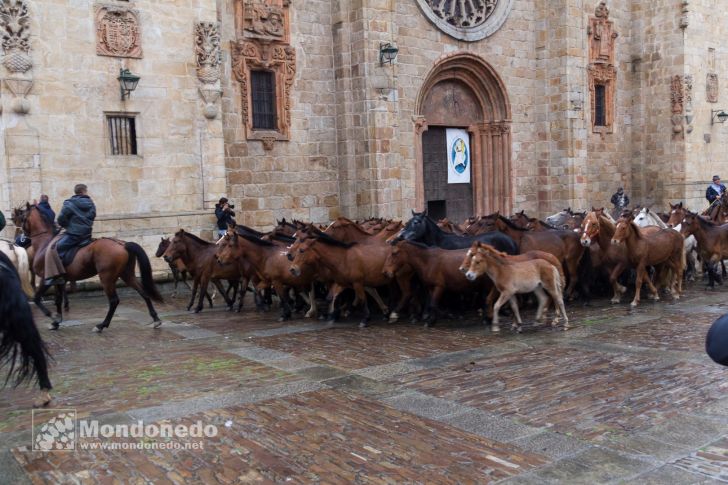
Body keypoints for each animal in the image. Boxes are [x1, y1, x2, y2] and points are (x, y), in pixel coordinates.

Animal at [13, 202, 162, 330]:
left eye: (22, 218)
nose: (18, 239)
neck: (44, 244)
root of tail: (123, 244)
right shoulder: (58, 281)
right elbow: (58, 299)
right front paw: (56, 321)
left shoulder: (46, 278)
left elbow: (37, 298)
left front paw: (52, 317)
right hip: (126, 275)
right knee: (143, 293)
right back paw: (155, 319)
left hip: (106, 278)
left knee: (114, 301)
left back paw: (102, 325)